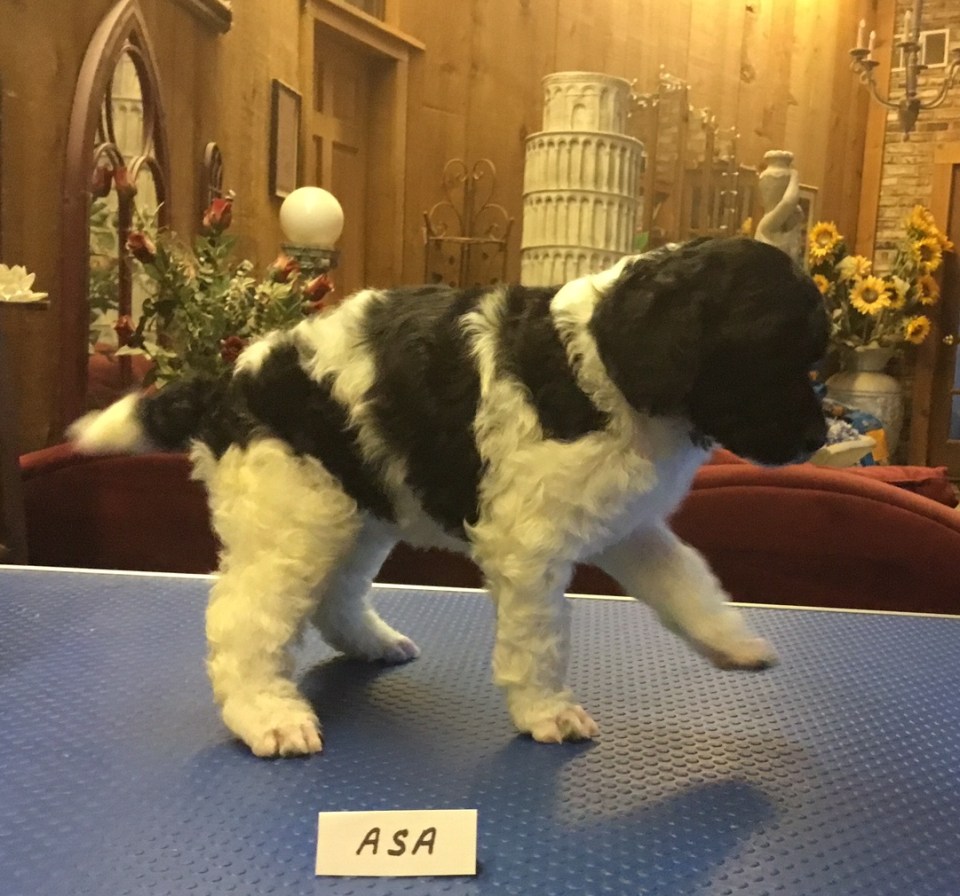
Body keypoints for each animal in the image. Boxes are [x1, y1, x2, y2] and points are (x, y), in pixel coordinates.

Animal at [70, 237, 828, 757]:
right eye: (774, 357)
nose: (818, 437)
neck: (605, 365)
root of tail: (225, 385)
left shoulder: (627, 525)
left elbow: (686, 583)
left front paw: (734, 645)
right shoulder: (529, 549)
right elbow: (540, 640)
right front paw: (548, 713)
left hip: (357, 507)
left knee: (333, 595)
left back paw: (370, 642)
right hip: (295, 512)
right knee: (246, 622)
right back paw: (268, 715)